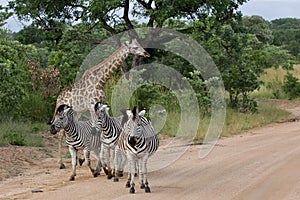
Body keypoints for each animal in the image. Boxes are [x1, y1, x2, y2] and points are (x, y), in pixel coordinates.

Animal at [53, 38, 150, 169]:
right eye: (135, 47)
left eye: (139, 45)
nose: (146, 54)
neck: (100, 80)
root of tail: (58, 98)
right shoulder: (91, 105)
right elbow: (94, 128)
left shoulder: (100, 104)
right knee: (60, 134)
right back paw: (61, 163)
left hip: (77, 112)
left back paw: (77, 158)